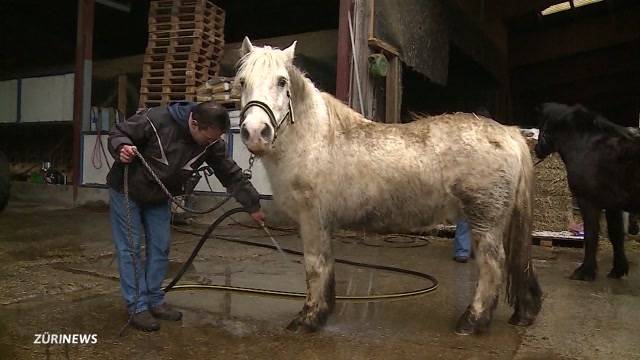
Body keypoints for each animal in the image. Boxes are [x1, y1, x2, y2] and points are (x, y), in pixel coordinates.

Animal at [235, 38, 540, 336]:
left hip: (485, 221)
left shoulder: (312, 219)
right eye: (242, 81)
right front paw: (322, 312)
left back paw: (472, 321)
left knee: (492, 265)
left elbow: (315, 266)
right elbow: (327, 266)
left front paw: (308, 319)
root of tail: (509, 133)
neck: (316, 139)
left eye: (282, 81)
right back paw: (521, 313)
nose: (255, 132)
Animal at [536, 103, 640, 282]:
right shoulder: (612, 206)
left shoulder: (588, 202)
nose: (536, 150)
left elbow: (591, 235)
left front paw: (584, 271)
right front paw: (618, 270)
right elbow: (616, 235)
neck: (587, 148)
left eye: (543, 130)